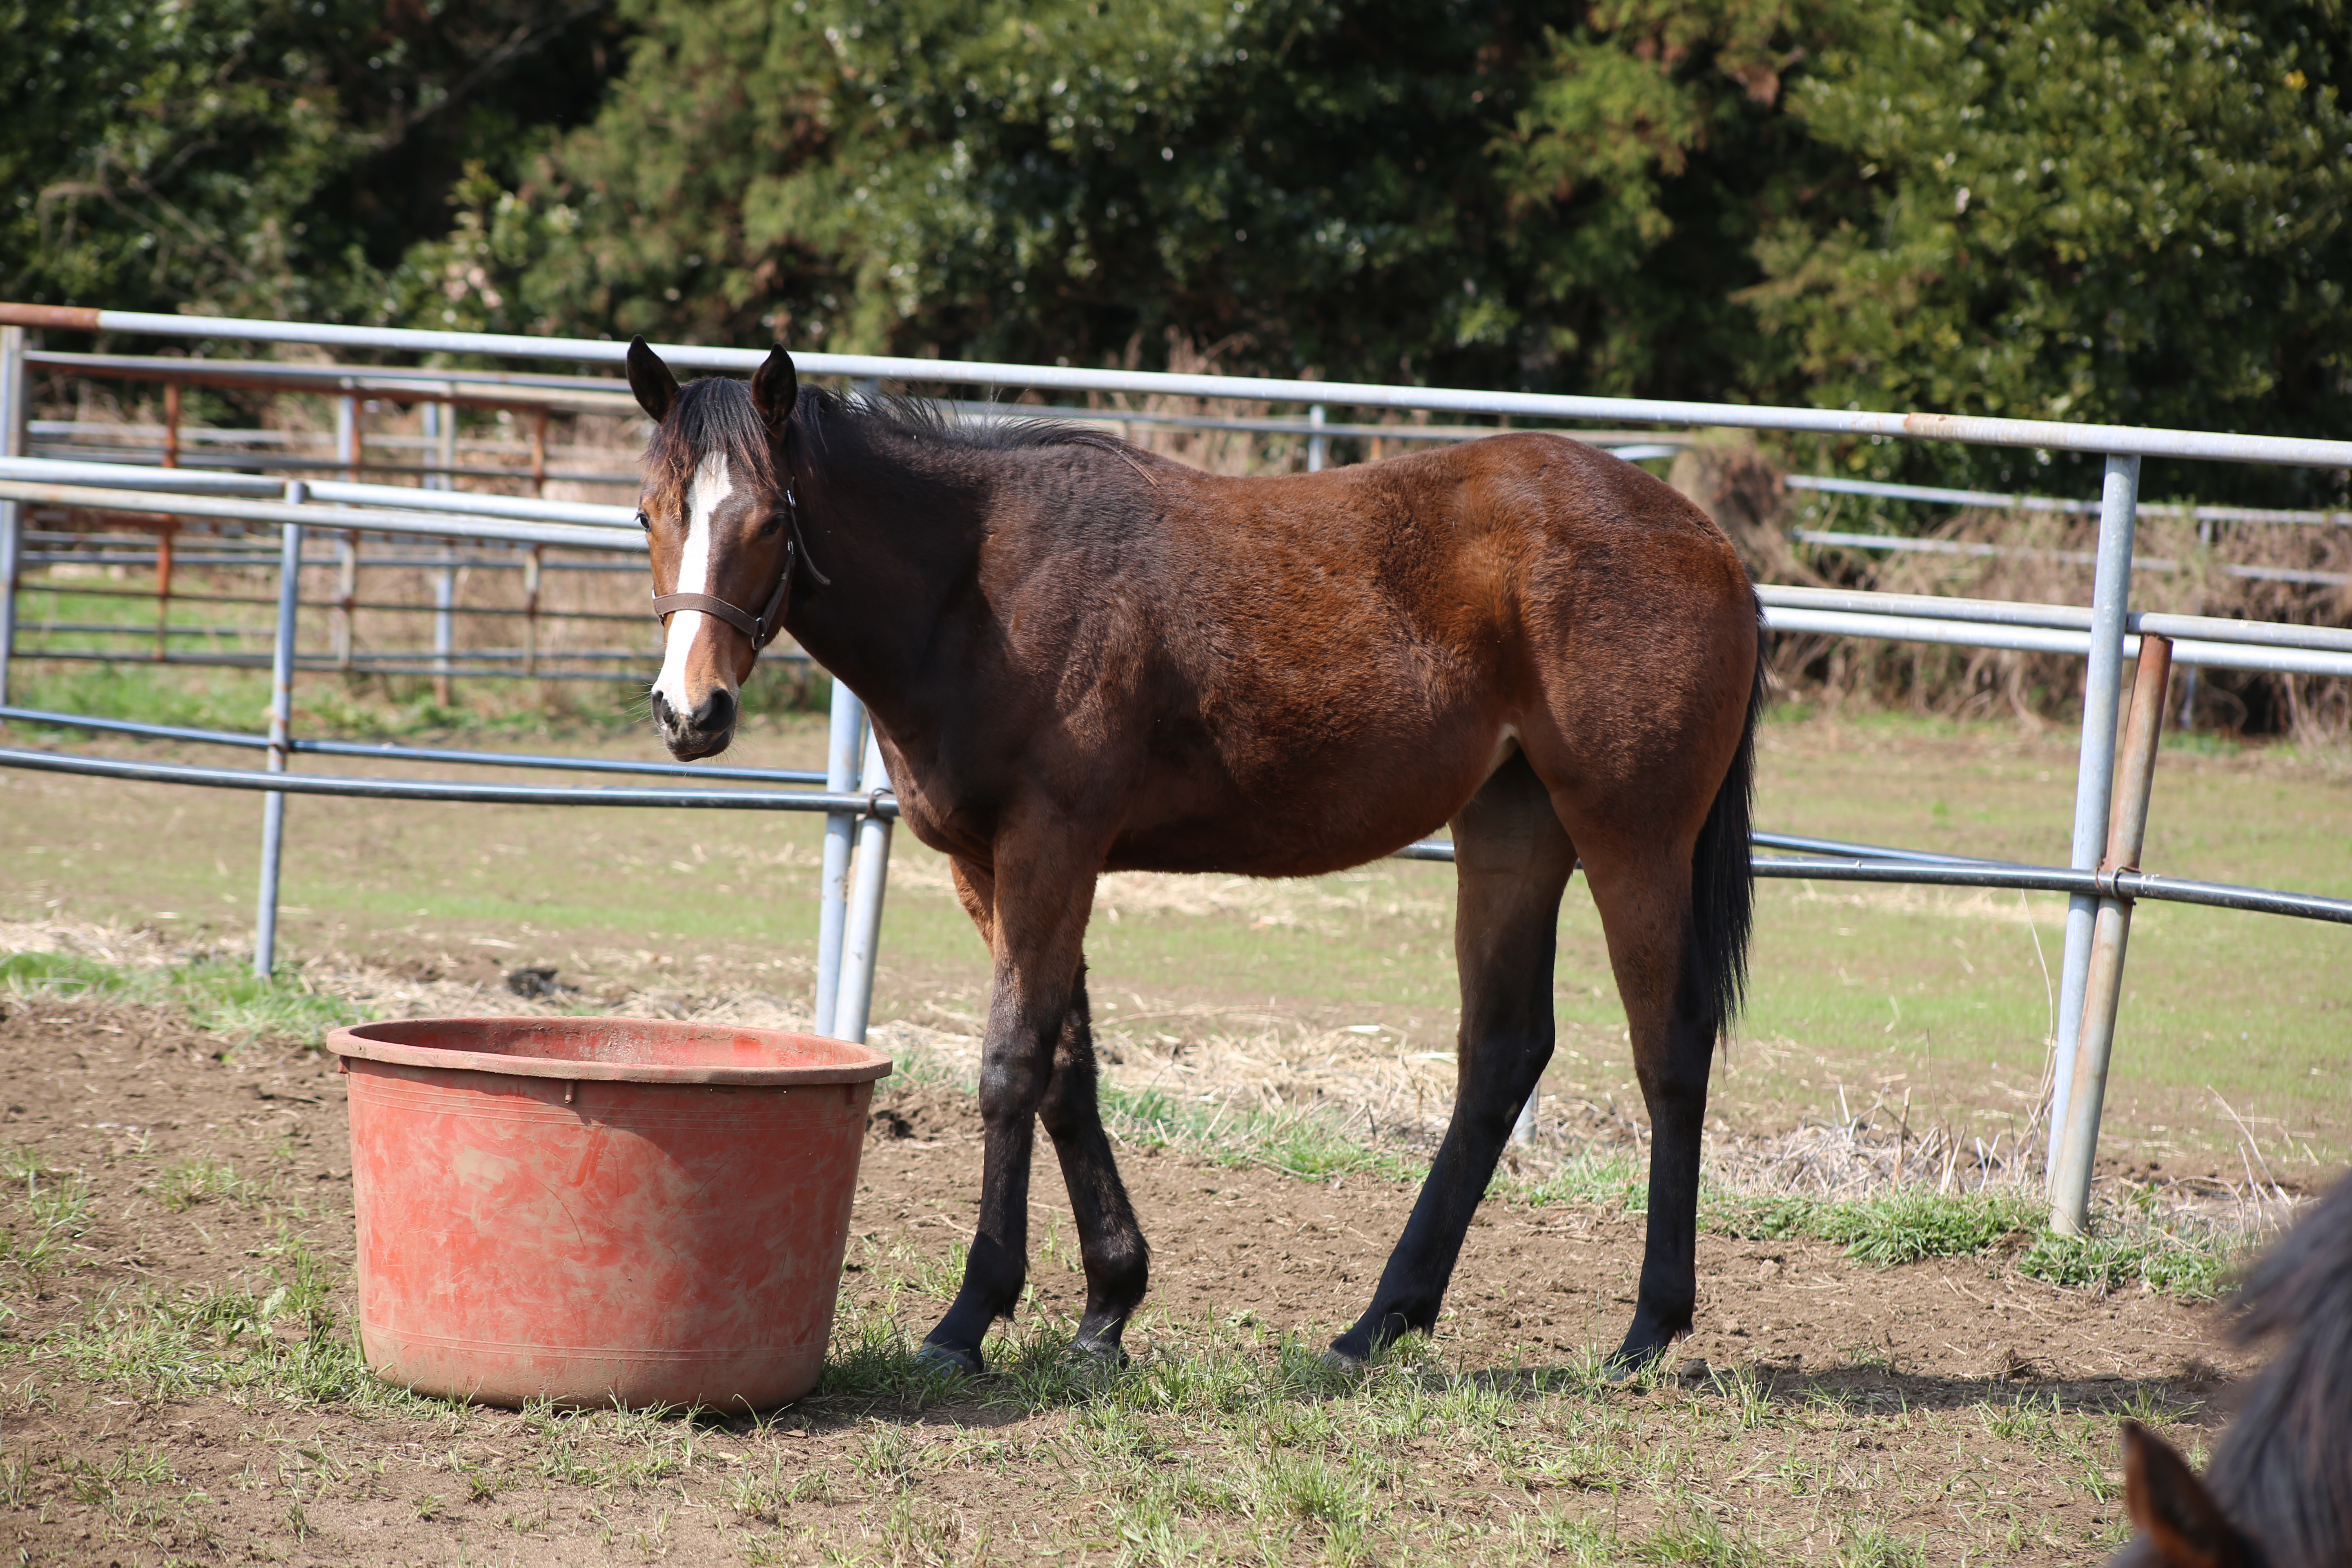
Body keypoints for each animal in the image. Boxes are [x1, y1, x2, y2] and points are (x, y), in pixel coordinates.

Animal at [626, 341, 1768, 1373]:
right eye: (648, 515)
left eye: (771, 521)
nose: (691, 712)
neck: (979, 584)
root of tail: (1706, 540)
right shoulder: (988, 869)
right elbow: (1066, 1071)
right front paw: (1107, 1308)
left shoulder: (1051, 848)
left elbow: (1009, 1067)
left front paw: (968, 1319)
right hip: (1510, 832)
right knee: (1500, 1055)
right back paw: (1378, 1323)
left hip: (1631, 838)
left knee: (1667, 1050)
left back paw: (1648, 1329)